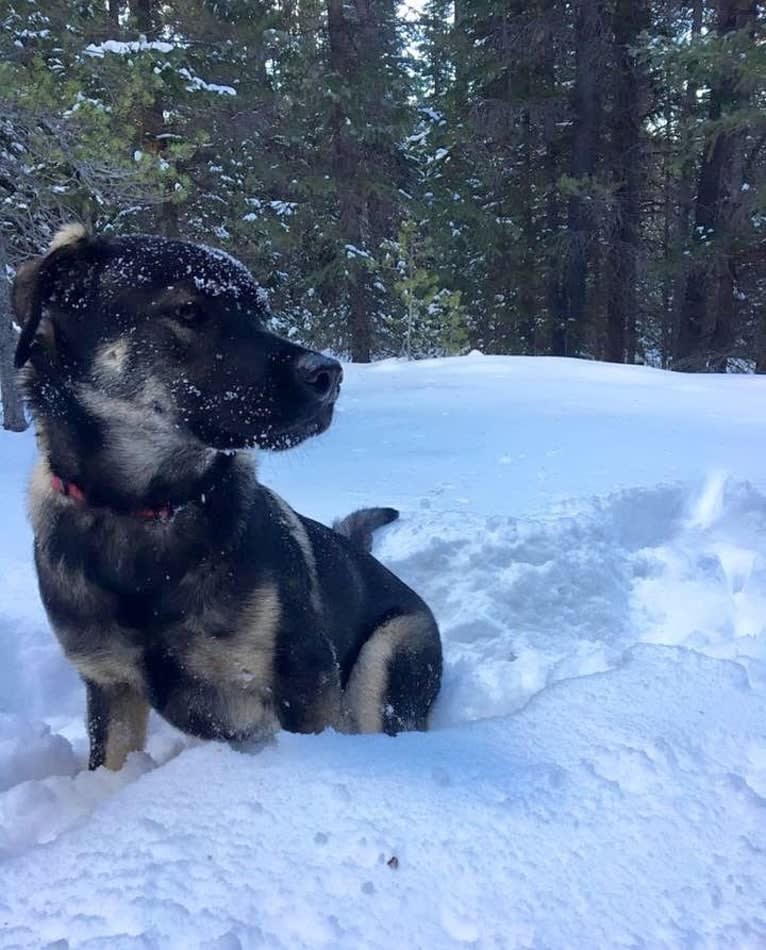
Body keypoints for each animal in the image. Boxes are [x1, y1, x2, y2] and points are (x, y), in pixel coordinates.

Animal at [12, 225, 444, 772]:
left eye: (260, 312)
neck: (144, 511)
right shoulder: (110, 687)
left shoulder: (304, 676)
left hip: (383, 660)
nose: (330, 375)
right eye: (189, 311)